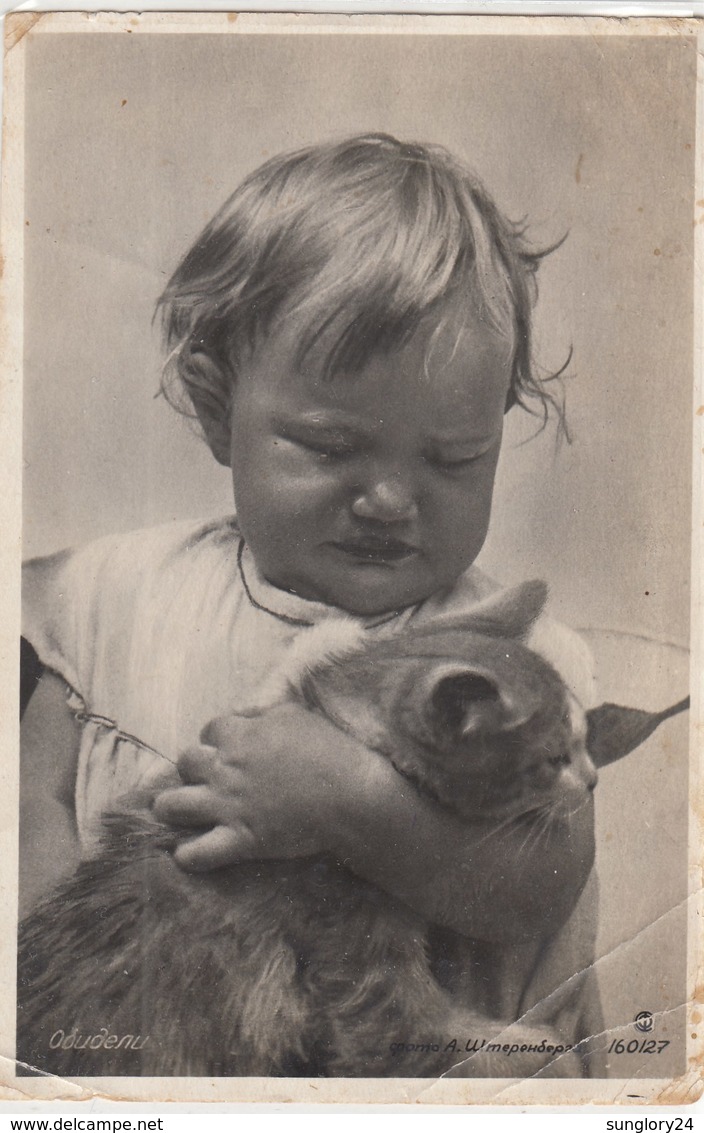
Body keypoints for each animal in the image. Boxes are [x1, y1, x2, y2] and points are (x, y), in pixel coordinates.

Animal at [16, 584, 684, 1078]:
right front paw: (540, 1048)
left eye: (584, 742)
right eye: (553, 759)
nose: (593, 780)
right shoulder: (361, 969)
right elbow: (430, 1040)